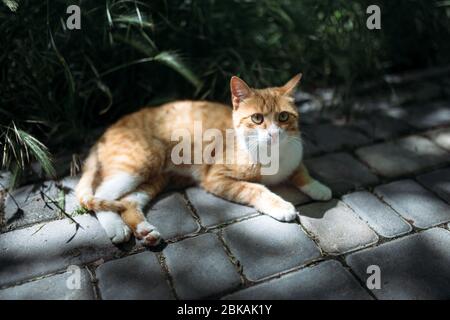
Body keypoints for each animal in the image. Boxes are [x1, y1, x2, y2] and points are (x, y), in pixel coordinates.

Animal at [75, 74, 332, 246]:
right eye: (257, 118)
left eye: (284, 117)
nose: (274, 134)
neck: (273, 154)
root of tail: (108, 130)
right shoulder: (216, 178)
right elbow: (257, 189)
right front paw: (281, 206)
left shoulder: (294, 157)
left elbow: (301, 171)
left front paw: (318, 187)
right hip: (140, 163)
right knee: (101, 195)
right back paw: (116, 227)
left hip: (156, 178)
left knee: (128, 202)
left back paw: (145, 230)